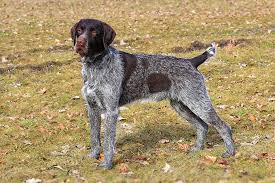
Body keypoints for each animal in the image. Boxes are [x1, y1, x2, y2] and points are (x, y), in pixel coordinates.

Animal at [70, 18, 235, 169]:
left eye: (94, 32)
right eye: (79, 30)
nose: (80, 44)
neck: (94, 65)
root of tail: (191, 62)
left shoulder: (111, 111)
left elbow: (108, 142)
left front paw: (107, 164)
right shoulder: (92, 108)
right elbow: (94, 137)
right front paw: (93, 155)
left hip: (198, 103)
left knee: (223, 126)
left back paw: (230, 152)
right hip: (181, 106)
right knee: (203, 126)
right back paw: (197, 149)